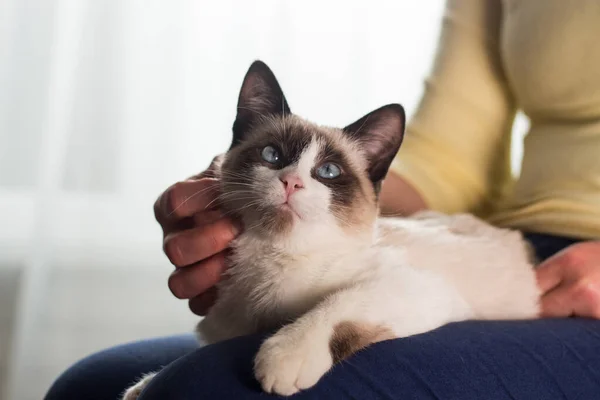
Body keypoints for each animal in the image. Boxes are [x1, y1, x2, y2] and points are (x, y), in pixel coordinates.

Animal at [122, 61, 540, 398]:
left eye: (328, 172)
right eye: (272, 155)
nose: (291, 182)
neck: (274, 262)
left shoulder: (415, 286)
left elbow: (338, 303)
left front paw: (284, 357)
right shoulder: (227, 324)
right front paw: (144, 386)